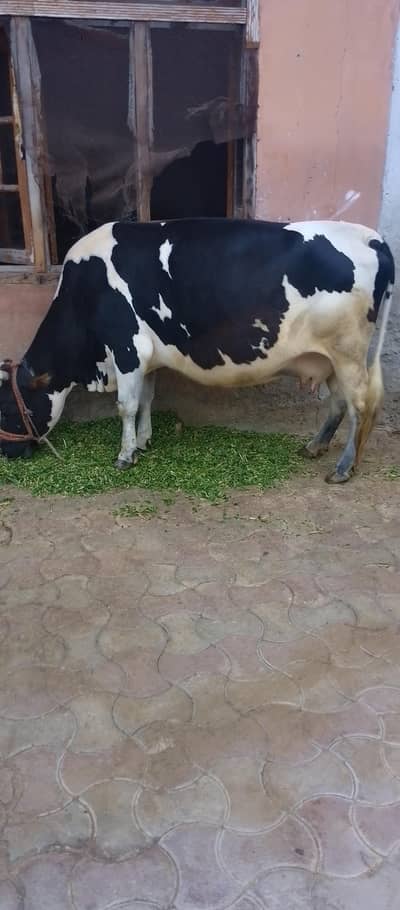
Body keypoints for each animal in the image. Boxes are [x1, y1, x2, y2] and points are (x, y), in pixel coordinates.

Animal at [0, 218, 394, 483]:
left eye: (7, 411)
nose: (8, 452)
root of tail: (371, 236)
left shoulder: (128, 348)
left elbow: (126, 405)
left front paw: (125, 455)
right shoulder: (148, 357)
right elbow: (147, 399)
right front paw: (143, 441)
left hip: (348, 353)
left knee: (360, 406)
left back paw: (343, 468)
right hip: (329, 358)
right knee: (339, 403)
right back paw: (315, 447)